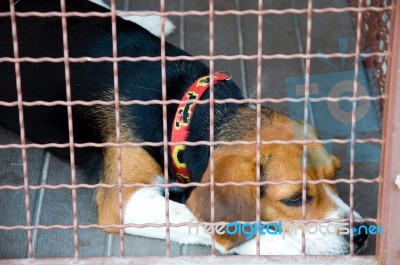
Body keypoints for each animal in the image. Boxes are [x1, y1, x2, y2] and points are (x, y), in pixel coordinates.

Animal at [0, 0, 368, 255]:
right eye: (295, 199)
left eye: (336, 176)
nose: (362, 234)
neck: (186, 108)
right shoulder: (126, 201)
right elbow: (206, 221)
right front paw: (280, 245)